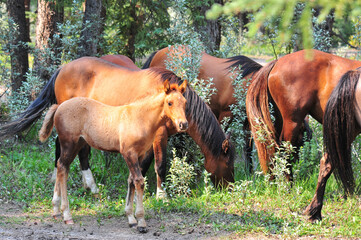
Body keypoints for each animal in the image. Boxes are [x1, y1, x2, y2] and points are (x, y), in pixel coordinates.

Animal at [0, 55, 235, 197]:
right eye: (228, 163)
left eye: (185, 104)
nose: (230, 188)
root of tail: (63, 68)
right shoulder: (160, 136)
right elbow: (160, 164)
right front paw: (162, 195)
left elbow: (145, 163)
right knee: (66, 146)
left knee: (79, 150)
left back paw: (87, 185)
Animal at [38, 80, 187, 232]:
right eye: (170, 102)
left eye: (185, 102)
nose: (183, 124)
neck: (140, 119)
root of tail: (59, 106)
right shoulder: (129, 153)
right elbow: (139, 181)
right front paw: (141, 221)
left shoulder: (139, 155)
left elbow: (131, 180)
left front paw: (131, 219)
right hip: (69, 144)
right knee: (62, 167)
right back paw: (67, 214)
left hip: (77, 144)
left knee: (62, 166)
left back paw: (56, 210)